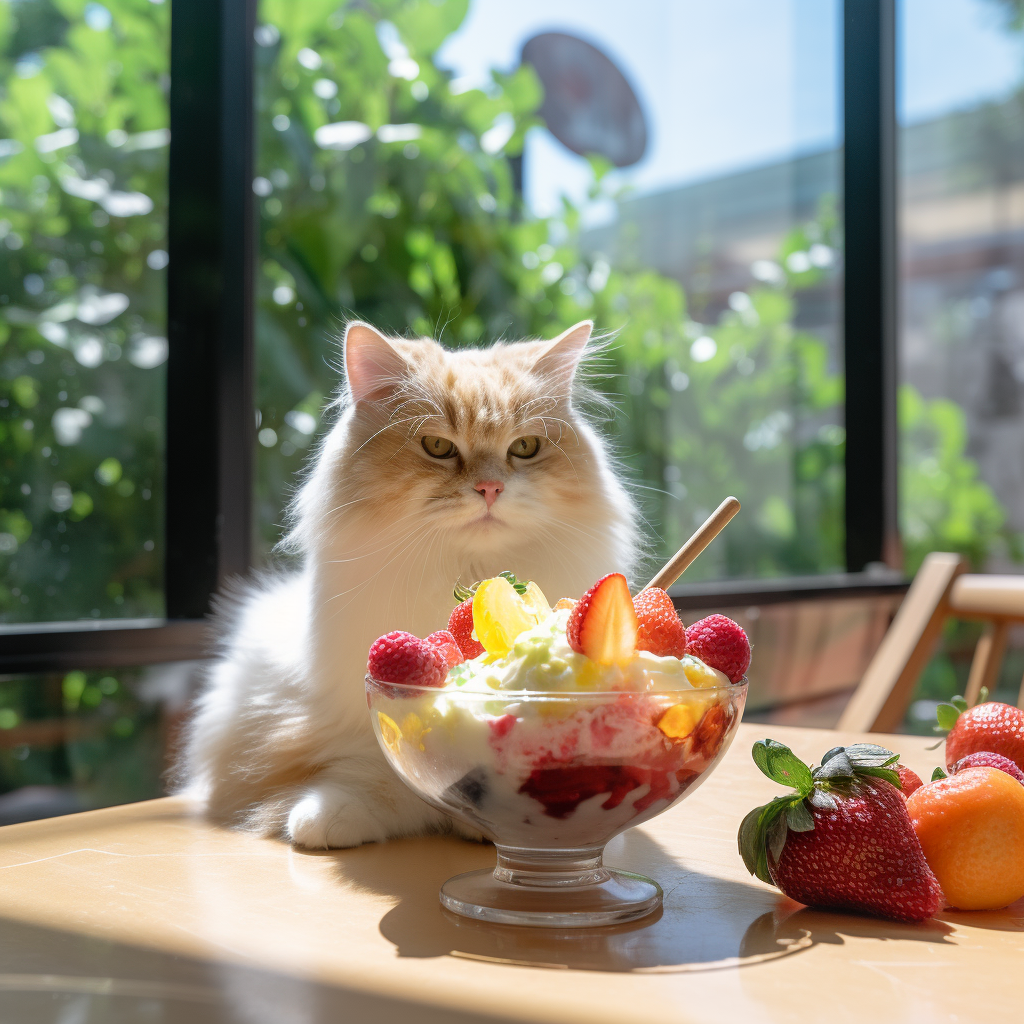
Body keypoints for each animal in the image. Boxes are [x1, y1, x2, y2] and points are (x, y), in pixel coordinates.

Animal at [178, 319, 638, 847]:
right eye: (438, 447)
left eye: (524, 448)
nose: (491, 489)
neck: (469, 577)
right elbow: (380, 771)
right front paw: (326, 819)